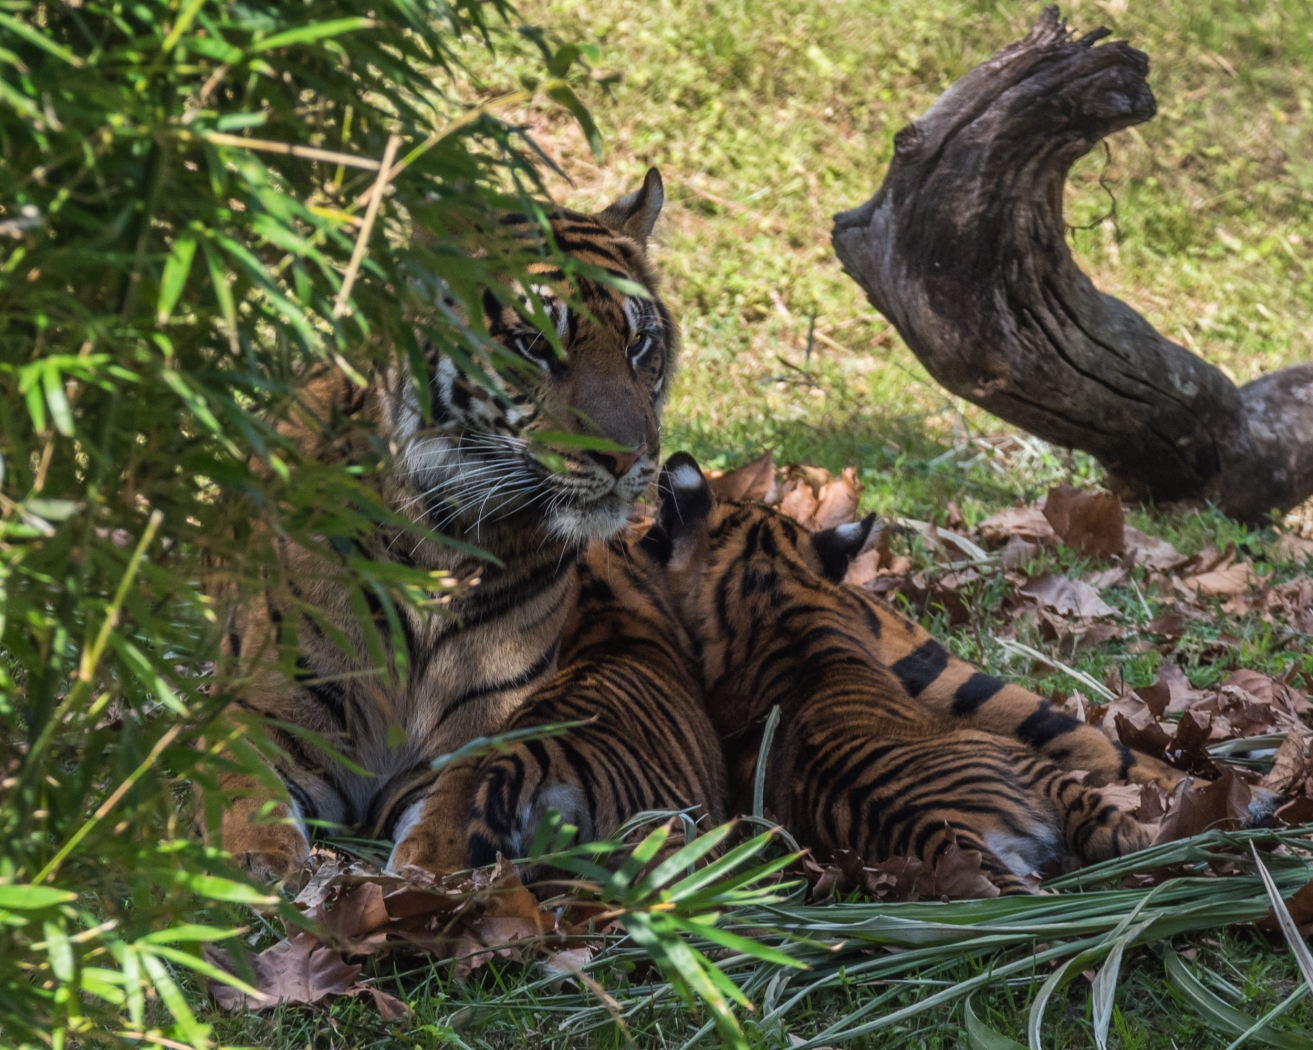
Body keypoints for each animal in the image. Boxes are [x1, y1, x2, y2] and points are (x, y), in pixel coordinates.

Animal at [215, 170, 677, 876]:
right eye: (535, 344)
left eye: (638, 344)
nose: (630, 457)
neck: (440, 537)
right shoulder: (264, 706)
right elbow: (246, 793)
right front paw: (257, 865)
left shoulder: (474, 737)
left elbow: (453, 810)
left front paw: (426, 872)